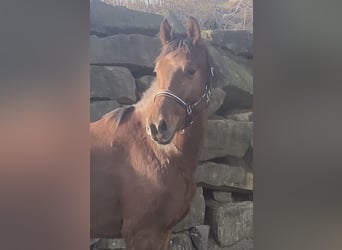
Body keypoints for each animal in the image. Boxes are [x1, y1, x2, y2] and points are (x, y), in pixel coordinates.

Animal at [91, 16, 214, 249]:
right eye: (157, 71)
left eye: (190, 70)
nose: (157, 127)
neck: (155, 152)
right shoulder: (143, 234)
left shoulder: (163, 232)